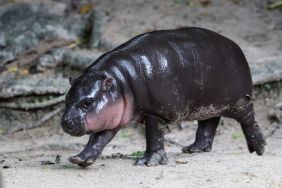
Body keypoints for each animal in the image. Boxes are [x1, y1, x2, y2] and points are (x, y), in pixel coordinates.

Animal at [61, 26, 266, 167]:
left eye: (87, 102)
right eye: (66, 98)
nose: (65, 122)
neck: (120, 81)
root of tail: (235, 46)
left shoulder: (156, 112)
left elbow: (154, 137)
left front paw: (147, 162)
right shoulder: (112, 116)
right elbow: (99, 139)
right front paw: (80, 159)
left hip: (237, 100)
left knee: (248, 118)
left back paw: (259, 149)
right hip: (207, 102)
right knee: (209, 122)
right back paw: (194, 149)